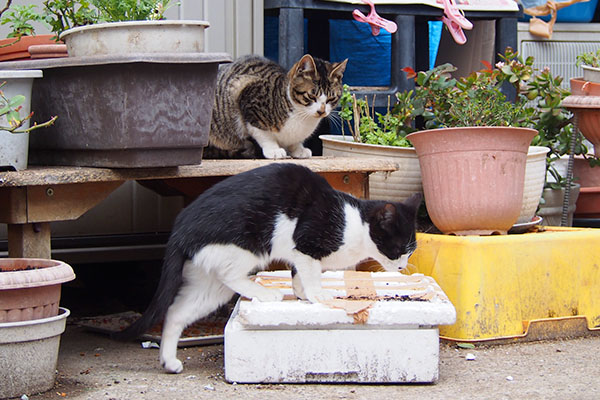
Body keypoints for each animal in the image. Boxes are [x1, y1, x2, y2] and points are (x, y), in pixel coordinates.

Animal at [112, 163, 422, 376]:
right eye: (398, 249)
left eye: (410, 251)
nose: (402, 266)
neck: (354, 223)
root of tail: (179, 229)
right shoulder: (306, 242)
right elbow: (311, 273)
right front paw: (318, 296)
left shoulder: (300, 253)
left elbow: (299, 274)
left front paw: (301, 293)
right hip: (248, 245)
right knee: (230, 274)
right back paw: (263, 293)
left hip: (207, 285)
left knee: (176, 312)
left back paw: (169, 361)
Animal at [205, 54, 346, 159]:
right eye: (311, 96)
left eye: (331, 98)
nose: (321, 111)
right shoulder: (245, 95)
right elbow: (263, 133)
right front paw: (273, 150)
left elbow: (294, 142)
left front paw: (298, 149)